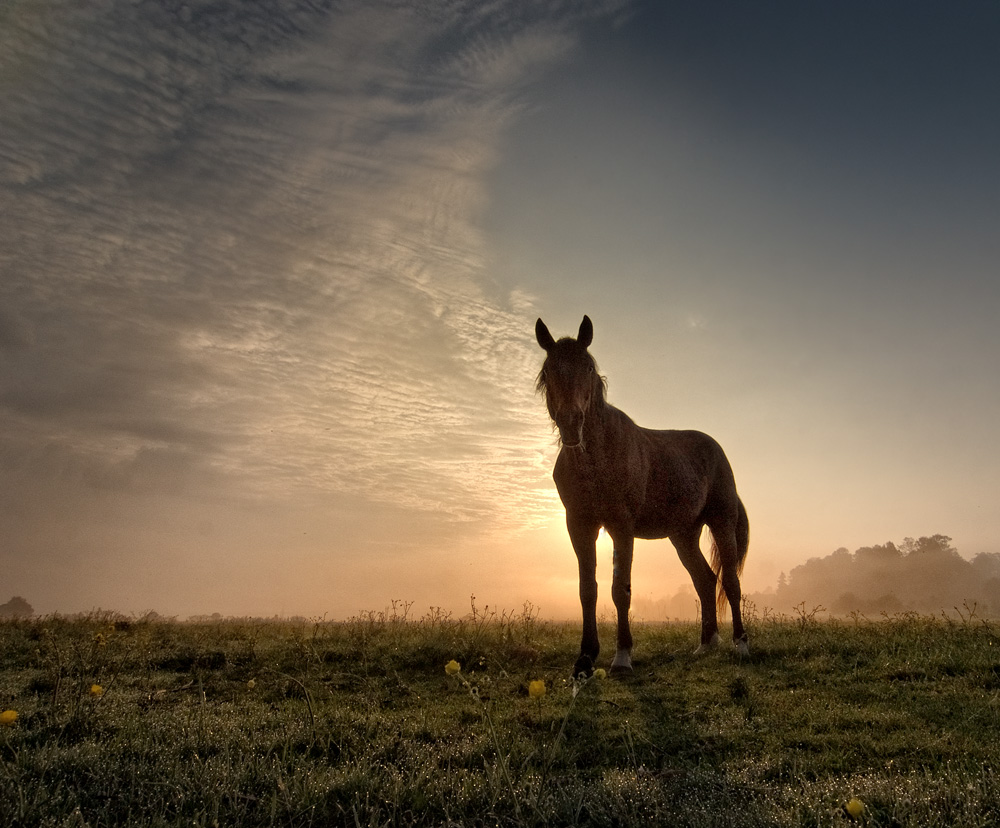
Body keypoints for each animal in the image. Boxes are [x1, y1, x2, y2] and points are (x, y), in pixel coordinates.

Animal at [536, 314, 748, 676]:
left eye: (587, 368)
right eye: (549, 370)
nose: (571, 423)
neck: (597, 456)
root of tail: (716, 450)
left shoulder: (621, 526)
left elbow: (620, 589)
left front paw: (622, 657)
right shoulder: (579, 525)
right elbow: (587, 590)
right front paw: (585, 658)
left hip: (721, 522)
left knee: (730, 581)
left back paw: (741, 644)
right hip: (683, 535)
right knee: (705, 581)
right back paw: (706, 644)